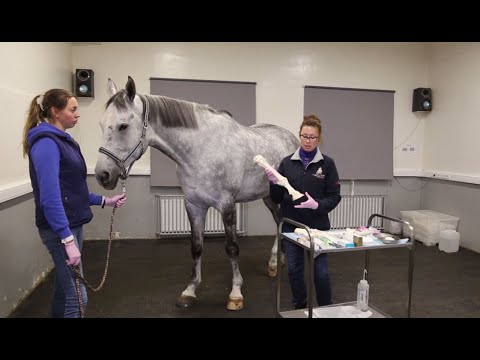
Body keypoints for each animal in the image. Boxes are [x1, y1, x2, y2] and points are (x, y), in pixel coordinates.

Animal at [93, 76, 300, 310]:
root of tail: (293, 139)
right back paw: (275, 262)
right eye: (101, 124)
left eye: (123, 126)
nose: (102, 175)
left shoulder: (227, 206)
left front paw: (236, 293)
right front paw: (190, 290)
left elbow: (232, 248)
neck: (200, 149)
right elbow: (196, 247)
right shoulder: (194, 205)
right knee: (279, 219)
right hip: (269, 197)